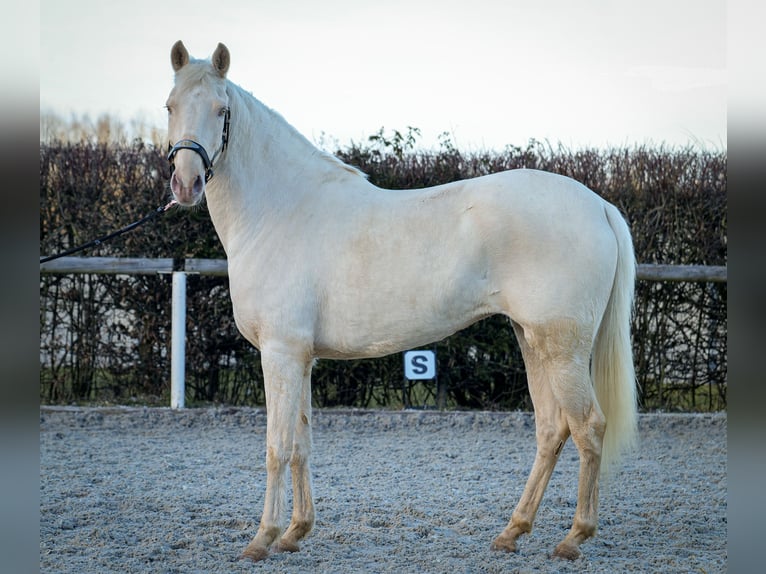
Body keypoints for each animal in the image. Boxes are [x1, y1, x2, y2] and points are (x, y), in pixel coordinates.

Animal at [168, 42, 640, 564]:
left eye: (221, 109)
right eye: (170, 106)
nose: (186, 183)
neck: (280, 211)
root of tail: (599, 206)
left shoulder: (280, 353)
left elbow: (277, 447)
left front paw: (262, 539)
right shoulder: (301, 358)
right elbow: (302, 443)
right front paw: (295, 532)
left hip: (563, 349)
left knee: (589, 427)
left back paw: (573, 537)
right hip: (532, 341)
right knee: (552, 430)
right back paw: (512, 532)